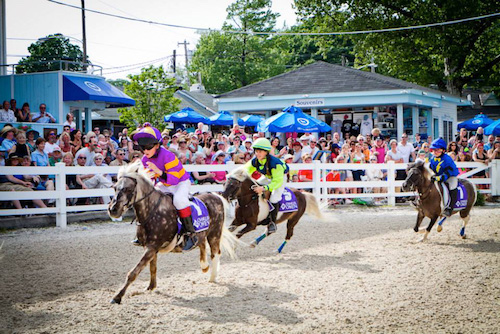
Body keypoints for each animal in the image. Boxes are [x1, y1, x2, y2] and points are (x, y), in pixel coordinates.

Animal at [107, 162, 238, 306]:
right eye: (115, 188)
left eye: (128, 189)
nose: (113, 210)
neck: (152, 211)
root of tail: (216, 196)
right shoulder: (150, 247)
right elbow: (152, 267)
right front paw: (151, 287)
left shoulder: (152, 247)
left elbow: (134, 272)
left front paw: (117, 296)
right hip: (203, 234)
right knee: (202, 244)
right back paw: (204, 266)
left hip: (215, 233)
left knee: (215, 253)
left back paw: (212, 277)